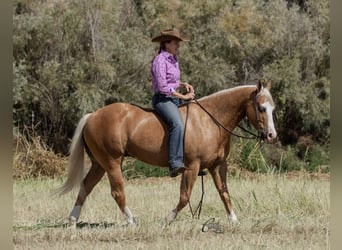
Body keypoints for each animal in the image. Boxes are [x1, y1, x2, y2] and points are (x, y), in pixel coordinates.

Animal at [58, 79, 278, 225]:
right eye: (261, 107)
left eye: (273, 108)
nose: (271, 135)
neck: (211, 120)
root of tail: (92, 116)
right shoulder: (192, 167)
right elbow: (185, 197)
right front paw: (168, 219)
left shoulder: (217, 166)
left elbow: (224, 193)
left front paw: (234, 220)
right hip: (112, 163)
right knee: (117, 192)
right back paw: (131, 221)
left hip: (99, 164)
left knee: (85, 187)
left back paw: (72, 220)